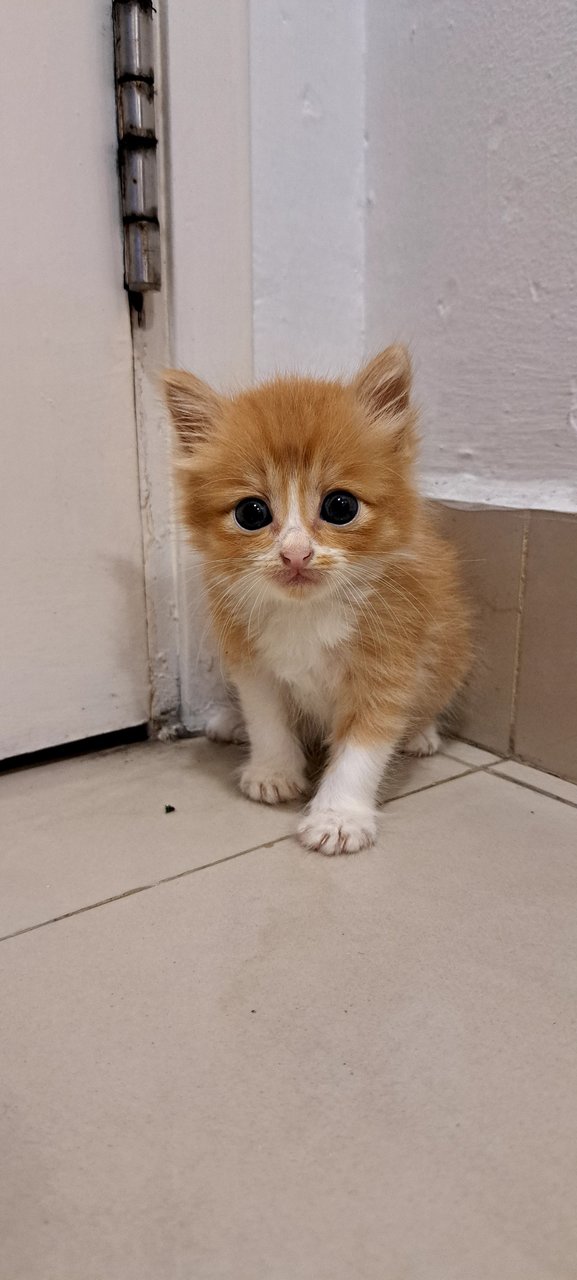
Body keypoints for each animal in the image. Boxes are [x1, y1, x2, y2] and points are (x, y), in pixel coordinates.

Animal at [165, 345, 473, 855]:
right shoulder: (251, 658)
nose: (295, 553)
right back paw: (231, 722)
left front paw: (339, 817)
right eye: (251, 513)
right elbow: (267, 716)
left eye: (340, 507)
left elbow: (363, 746)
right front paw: (273, 772)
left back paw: (421, 733)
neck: (306, 611)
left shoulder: (389, 659)